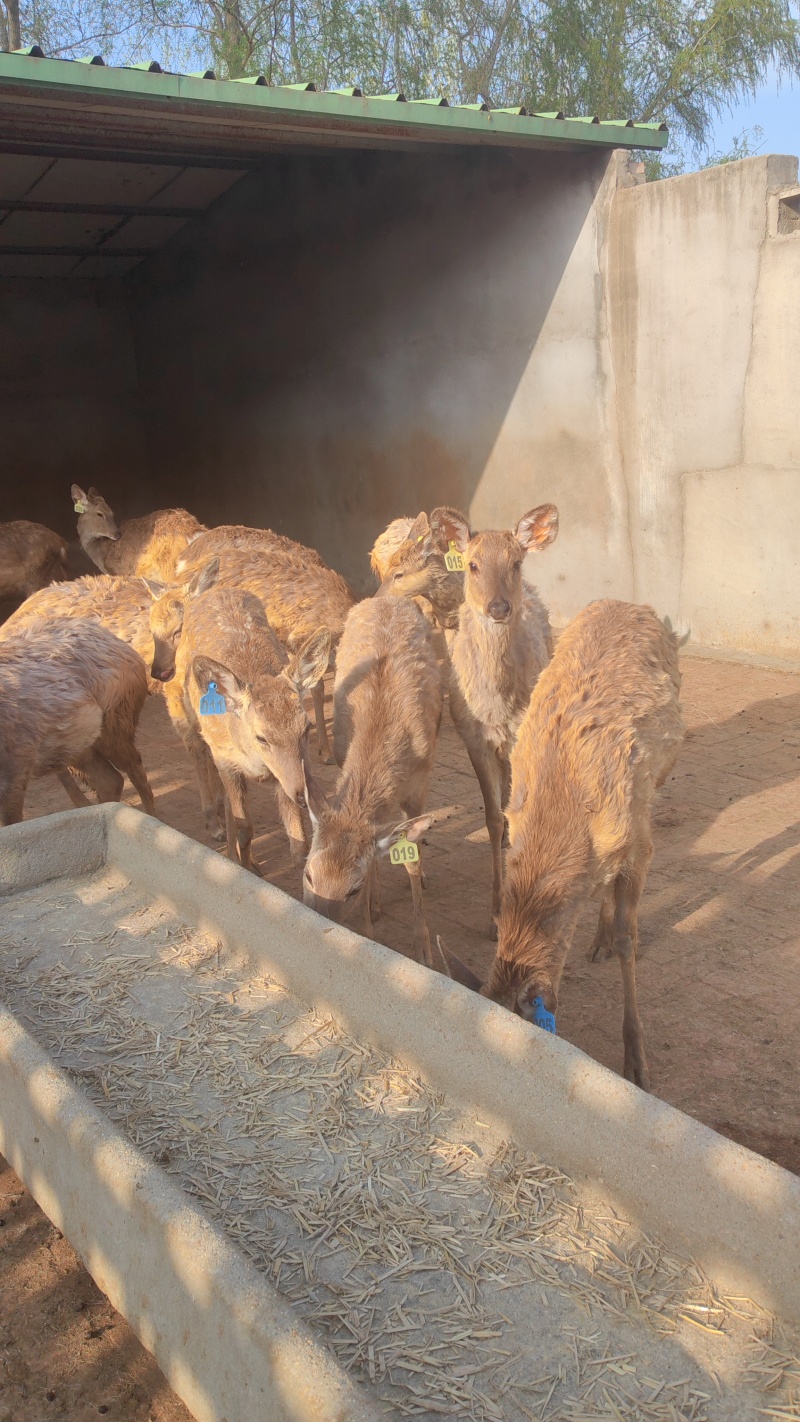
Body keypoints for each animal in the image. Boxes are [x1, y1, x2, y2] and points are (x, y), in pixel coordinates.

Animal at [70, 485, 205, 582]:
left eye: (111, 512)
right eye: (99, 514)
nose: (117, 533)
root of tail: (193, 531)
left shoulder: (121, 571)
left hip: (167, 566)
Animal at [152, 563, 331, 873]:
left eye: (306, 728)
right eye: (261, 736)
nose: (303, 793)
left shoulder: (285, 773)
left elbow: (299, 842)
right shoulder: (225, 758)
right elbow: (245, 825)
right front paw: (244, 867)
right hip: (189, 722)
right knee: (201, 760)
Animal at [302, 596, 443, 966]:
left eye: (351, 888)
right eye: (309, 874)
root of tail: (388, 597)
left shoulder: (418, 788)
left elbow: (410, 859)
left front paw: (424, 949)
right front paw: (367, 927)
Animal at [423, 504, 559, 935]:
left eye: (516, 562)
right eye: (472, 564)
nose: (498, 608)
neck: (498, 707)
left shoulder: (519, 736)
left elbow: (515, 813)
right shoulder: (473, 736)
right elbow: (492, 817)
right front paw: (496, 912)